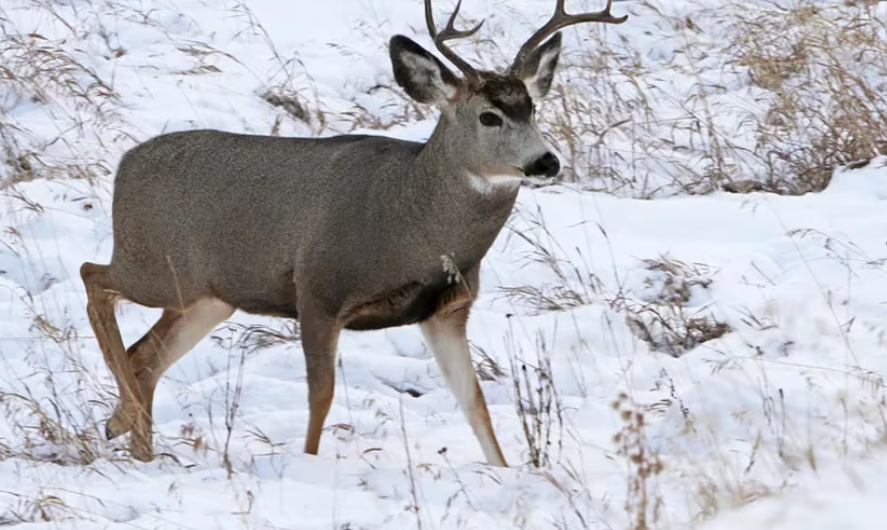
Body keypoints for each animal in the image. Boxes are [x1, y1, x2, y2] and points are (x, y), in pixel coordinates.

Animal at [80, 0, 628, 464]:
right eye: (489, 116)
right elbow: (321, 395)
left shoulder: (447, 311)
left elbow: (475, 403)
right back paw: (122, 422)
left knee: (146, 355)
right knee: (93, 278)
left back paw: (136, 443)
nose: (546, 161)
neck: (413, 223)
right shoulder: (319, 289)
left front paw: (508, 473)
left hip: (208, 296)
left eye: (532, 108)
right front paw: (309, 465)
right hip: (152, 265)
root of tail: (125, 165)